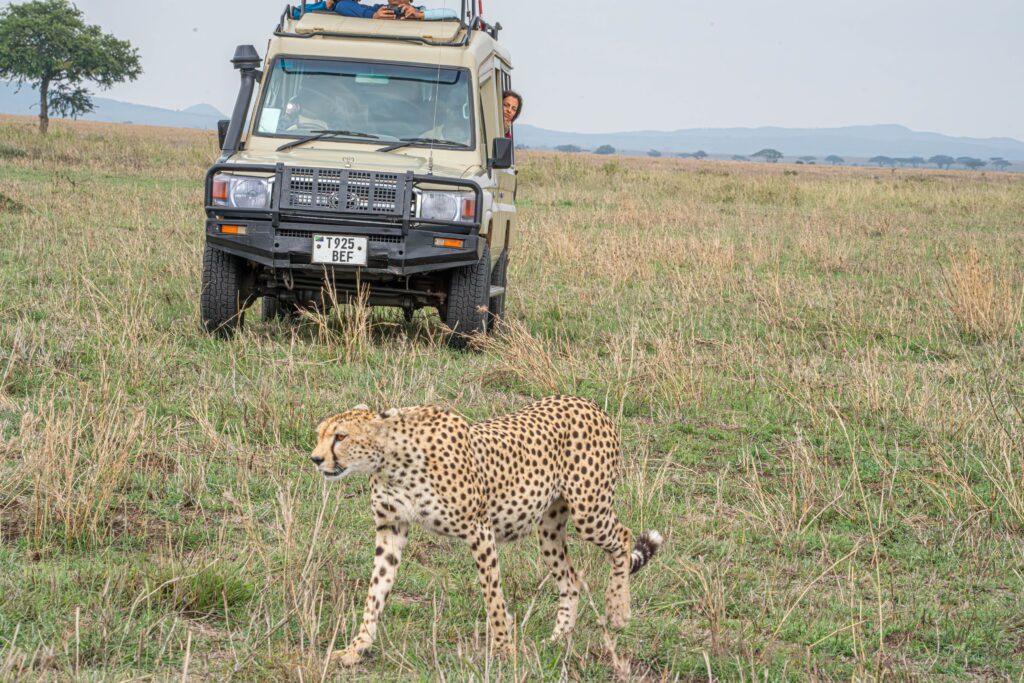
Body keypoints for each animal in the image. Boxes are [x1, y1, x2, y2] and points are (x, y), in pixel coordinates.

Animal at [309, 395, 663, 667]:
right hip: (549, 529)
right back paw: (558, 638)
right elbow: (375, 593)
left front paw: (504, 649)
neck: (391, 462)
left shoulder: (479, 529)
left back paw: (618, 611)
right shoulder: (390, 529)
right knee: (571, 578)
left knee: (623, 537)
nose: (315, 459)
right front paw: (356, 649)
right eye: (320, 434)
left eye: (340, 437)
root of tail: (587, 402)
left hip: (589, 512)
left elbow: (492, 596)